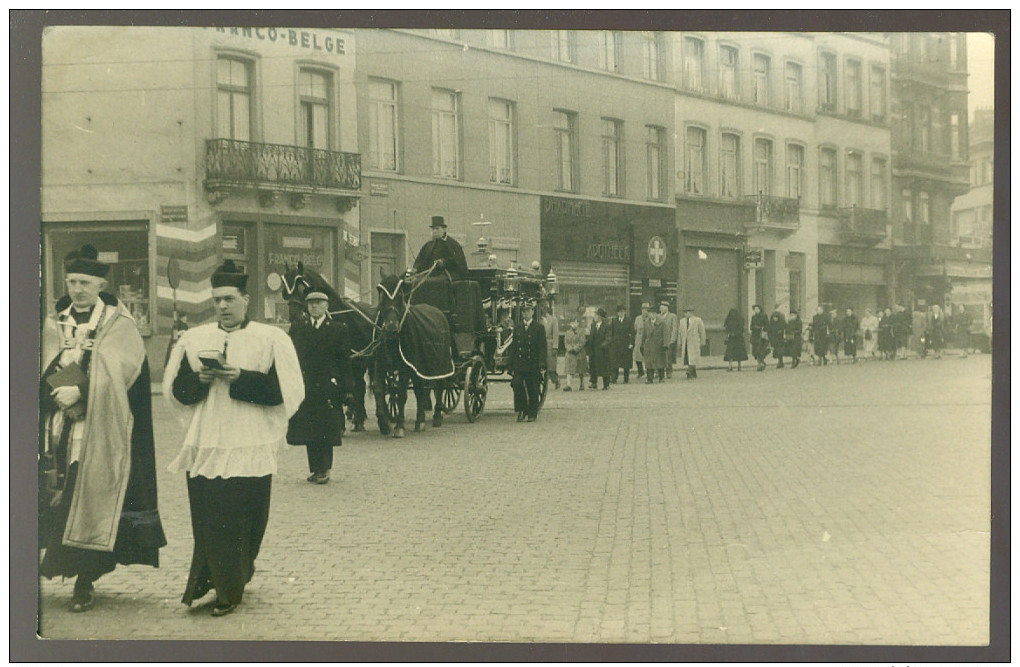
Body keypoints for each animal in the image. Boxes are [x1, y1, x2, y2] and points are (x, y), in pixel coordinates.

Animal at [279, 261, 375, 434]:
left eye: (302, 289)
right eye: (284, 292)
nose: (295, 317)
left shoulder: (349, 360)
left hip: (360, 361)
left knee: (359, 386)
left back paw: (358, 419)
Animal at [375, 271, 454, 438]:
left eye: (400, 294)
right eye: (381, 293)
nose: (391, 326)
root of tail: (439, 312)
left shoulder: (406, 367)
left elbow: (401, 394)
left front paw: (399, 426)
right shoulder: (380, 364)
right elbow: (379, 390)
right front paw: (384, 423)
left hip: (440, 364)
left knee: (440, 386)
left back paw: (437, 416)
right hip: (419, 367)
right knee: (420, 390)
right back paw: (420, 421)